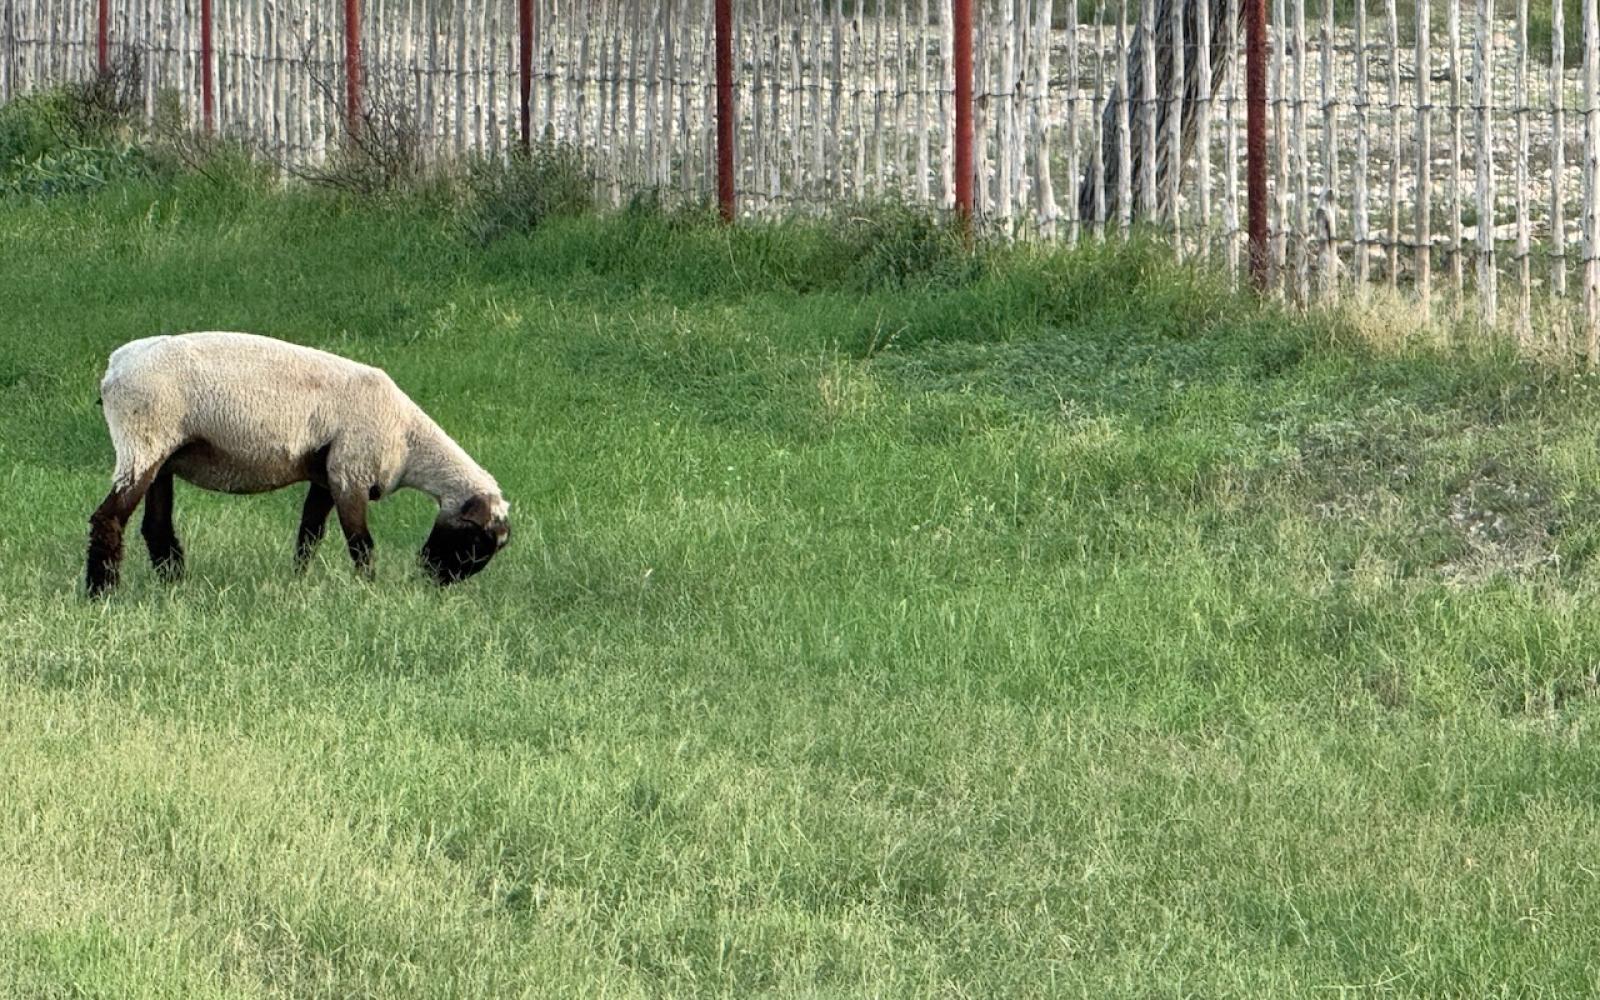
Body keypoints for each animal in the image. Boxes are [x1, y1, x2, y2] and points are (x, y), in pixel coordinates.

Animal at [86, 331, 510, 596]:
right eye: (478, 542)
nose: (434, 580)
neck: (409, 442)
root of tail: (114, 368)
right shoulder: (350, 472)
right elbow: (361, 544)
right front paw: (368, 590)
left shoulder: (325, 476)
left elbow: (309, 536)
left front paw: (299, 582)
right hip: (142, 441)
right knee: (108, 519)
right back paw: (101, 593)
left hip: (164, 454)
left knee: (156, 528)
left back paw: (173, 587)